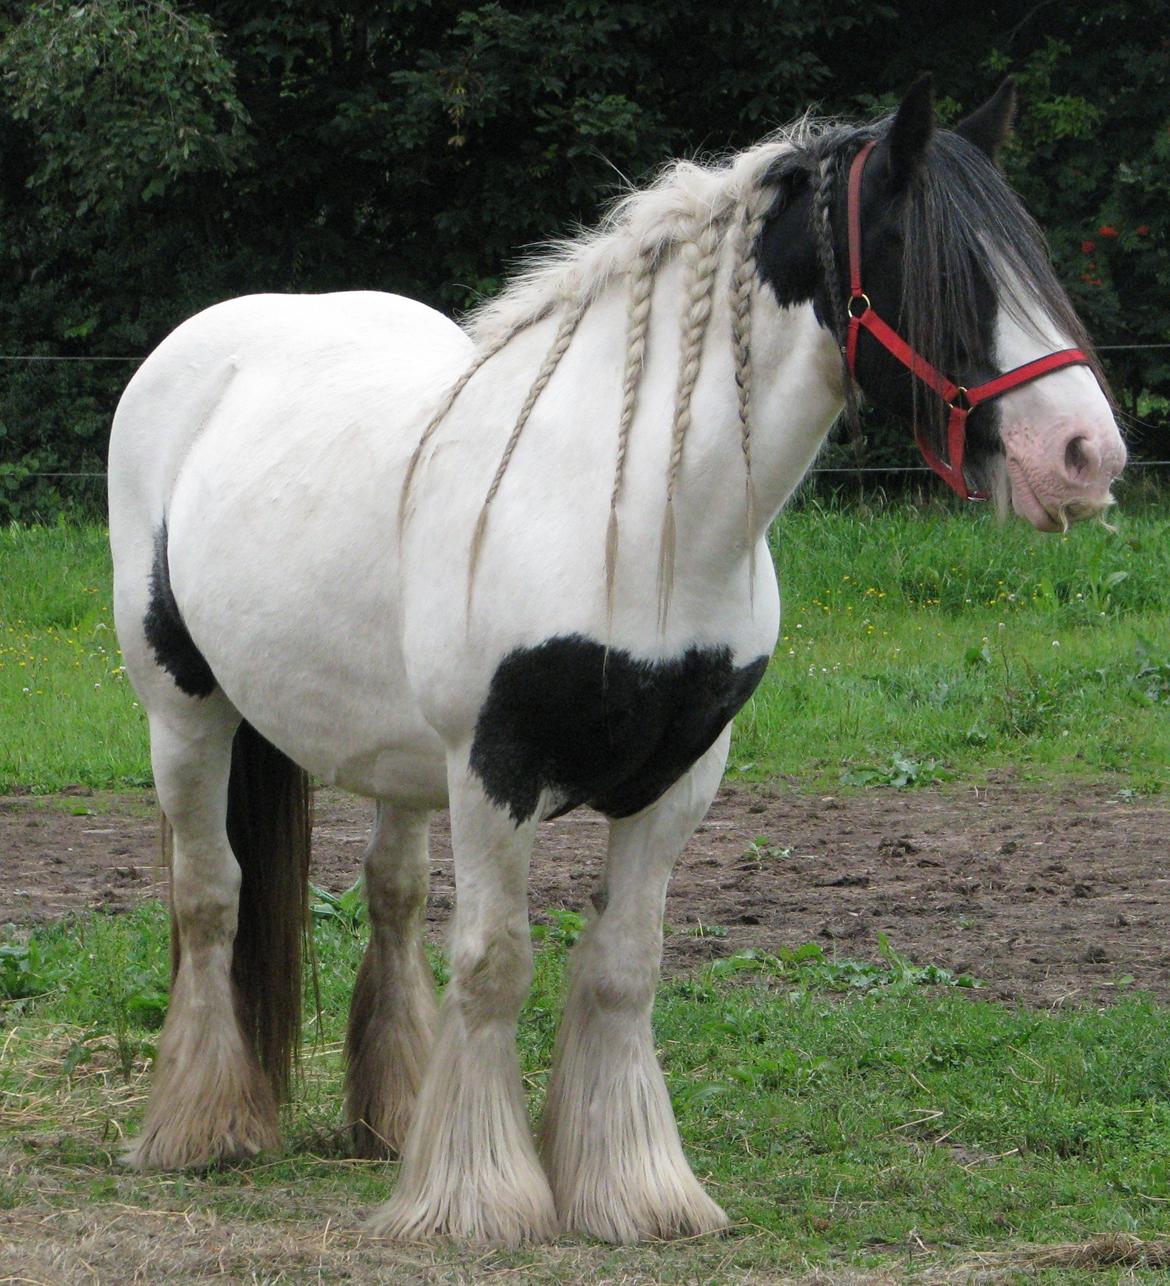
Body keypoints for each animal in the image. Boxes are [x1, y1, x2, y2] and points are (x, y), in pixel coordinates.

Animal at [107, 80, 1126, 1244]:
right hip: (184, 711)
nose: (1087, 456)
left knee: (392, 896)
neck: (631, 507)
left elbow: (622, 969)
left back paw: (397, 1113)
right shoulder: (495, 767)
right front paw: (476, 1200)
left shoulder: (680, 775)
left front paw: (632, 1189)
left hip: (395, 762)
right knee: (208, 896)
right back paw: (201, 1126)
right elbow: (496, 964)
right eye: (932, 259)